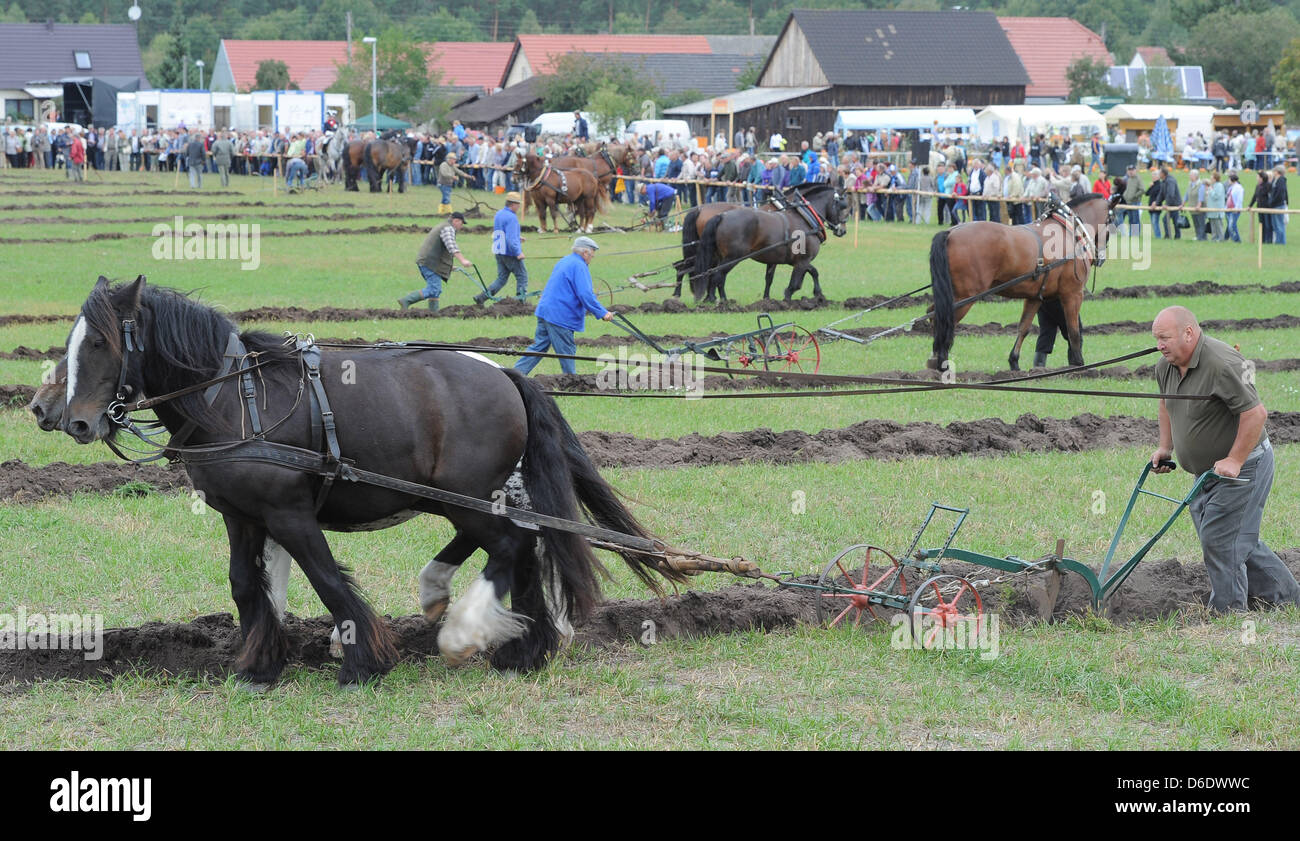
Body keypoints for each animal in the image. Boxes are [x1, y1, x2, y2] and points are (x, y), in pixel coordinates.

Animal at [58, 279, 681, 686]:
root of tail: (505, 374)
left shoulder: (289, 513)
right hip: (474, 497)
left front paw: (363, 661)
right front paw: (259, 665)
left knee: (510, 546)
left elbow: (328, 580)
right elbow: (244, 584)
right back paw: (520, 645)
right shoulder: (241, 515)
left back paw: (470, 635)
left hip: (468, 496)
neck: (235, 398)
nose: (74, 421)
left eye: (101, 342)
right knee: (519, 547)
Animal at [691, 184, 852, 305]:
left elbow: (813, 272)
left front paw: (819, 295)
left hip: (721, 256)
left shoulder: (796, 261)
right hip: (733, 257)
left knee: (716, 275)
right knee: (717, 275)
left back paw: (718, 299)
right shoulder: (802, 261)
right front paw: (786, 301)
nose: (842, 230)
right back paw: (719, 301)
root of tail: (722, 216)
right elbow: (795, 284)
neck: (805, 218)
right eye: (843, 206)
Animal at [930, 196, 1123, 374]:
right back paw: (941, 362)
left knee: (934, 315)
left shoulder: (1035, 297)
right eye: (1111, 220)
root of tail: (950, 233)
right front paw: (1078, 365)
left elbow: (1023, 328)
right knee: (945, 321)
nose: (1100, 258)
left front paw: (1014, 362)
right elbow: (1073, 330)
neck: (1069, 232)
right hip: (965, 297)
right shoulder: (1073, 294)